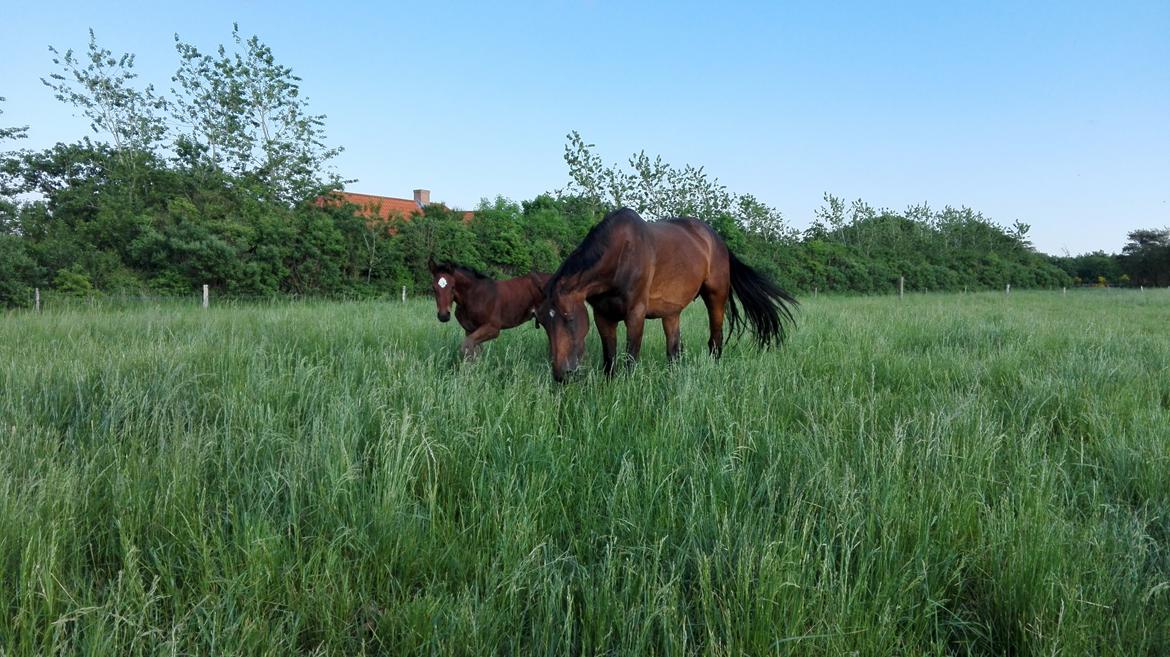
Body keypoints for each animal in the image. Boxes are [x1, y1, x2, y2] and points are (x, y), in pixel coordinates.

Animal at [535, 206, 795, 381]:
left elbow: (630, 357)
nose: (561, 374)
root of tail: (717, 240)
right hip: (672, 313)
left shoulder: (635, 314)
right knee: (673, 350)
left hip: (715, 296)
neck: (620, 256)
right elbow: (610, 359)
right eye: (543, 323)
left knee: (715, 339)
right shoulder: (603, 315)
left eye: (568, 318)